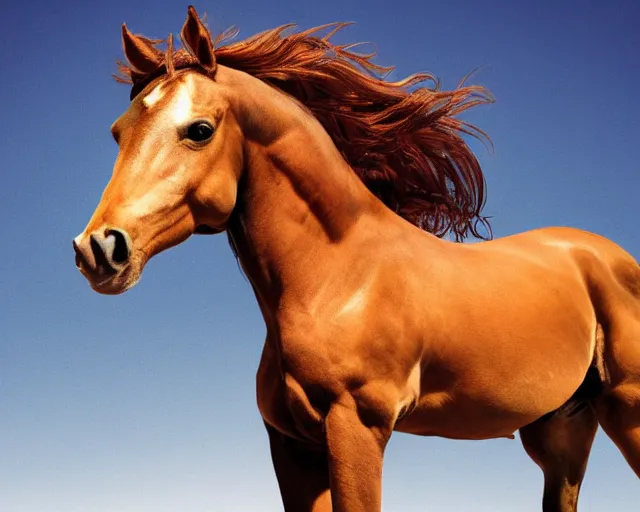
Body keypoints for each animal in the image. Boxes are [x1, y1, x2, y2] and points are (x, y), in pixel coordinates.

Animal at [72, 6, 640, 510]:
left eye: (199, 130)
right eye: (118, 131)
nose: (99, 248)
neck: (339, 275)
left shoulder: (357, 426)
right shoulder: (291, 444)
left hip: (627, 412)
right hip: (562, 432)